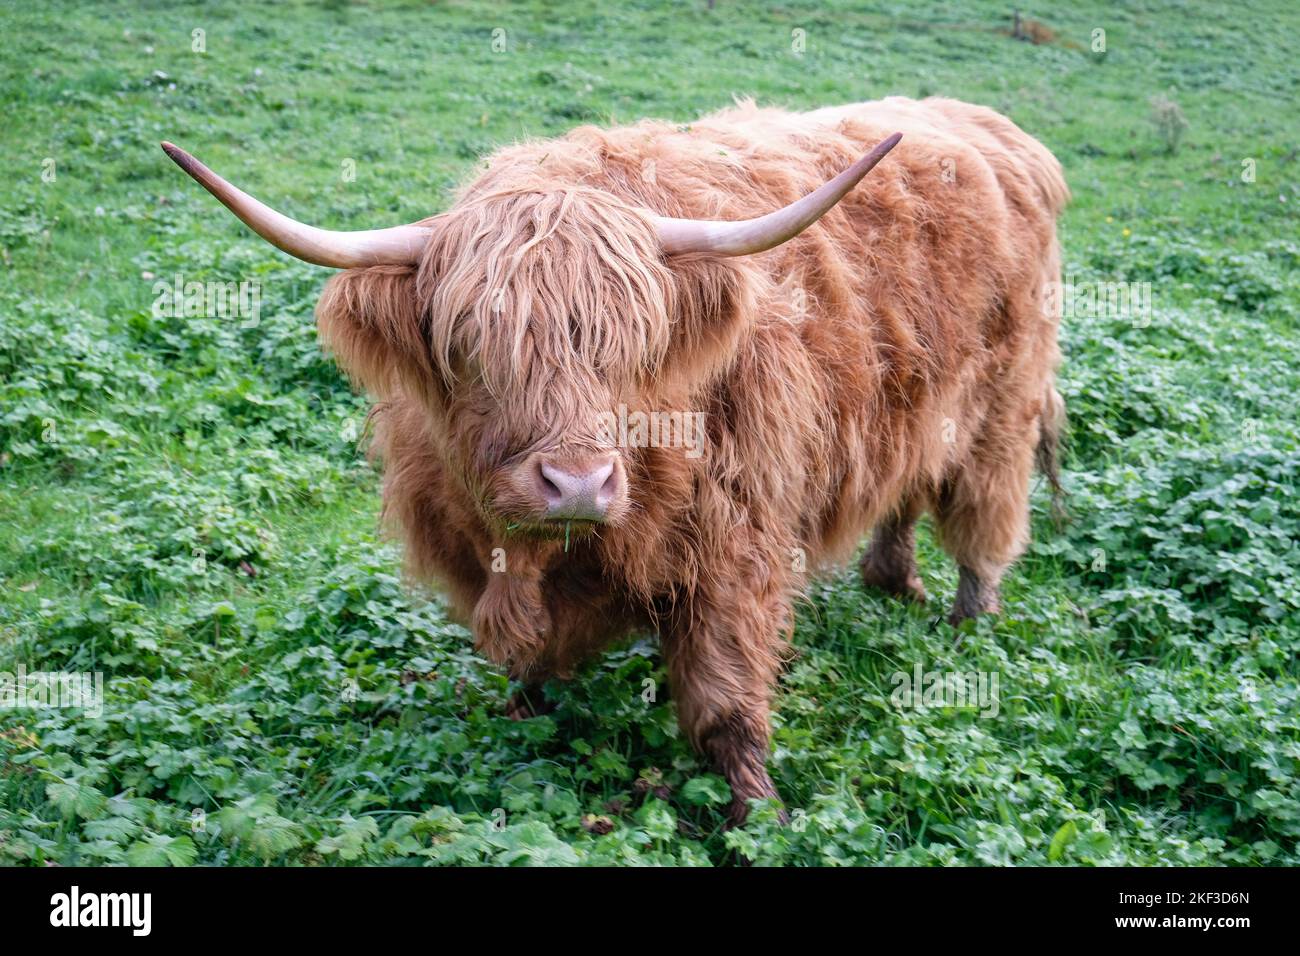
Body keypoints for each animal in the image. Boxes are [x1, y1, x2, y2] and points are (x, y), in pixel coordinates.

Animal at [163, 95, 1068, 825]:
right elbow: (529, 668)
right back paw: (891, 579)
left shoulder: (732, 554)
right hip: (917, 410)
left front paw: (760, 817)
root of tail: (986, 124)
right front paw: (525, 727)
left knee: (985, 516)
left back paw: (967, 622)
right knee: (908, 487)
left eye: (629, 349)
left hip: (1002, 403)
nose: (577, 484)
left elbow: (725, 703)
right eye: (471, 346)